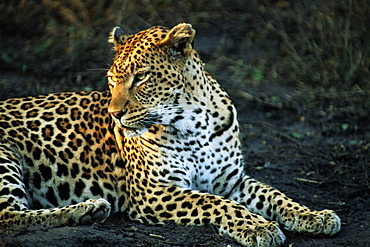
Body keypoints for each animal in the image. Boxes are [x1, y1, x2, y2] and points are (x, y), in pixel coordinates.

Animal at [0, 23, 342, 247]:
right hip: (5, 157)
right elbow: (216, 203)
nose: (114, 114)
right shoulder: (154, 192)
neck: (195, 123)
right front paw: (257, 227)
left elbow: (275, 195)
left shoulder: (230, 181)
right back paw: (89, 209)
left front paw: (315, 216)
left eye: (141, 77)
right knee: (9, 217)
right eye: (111, 80)